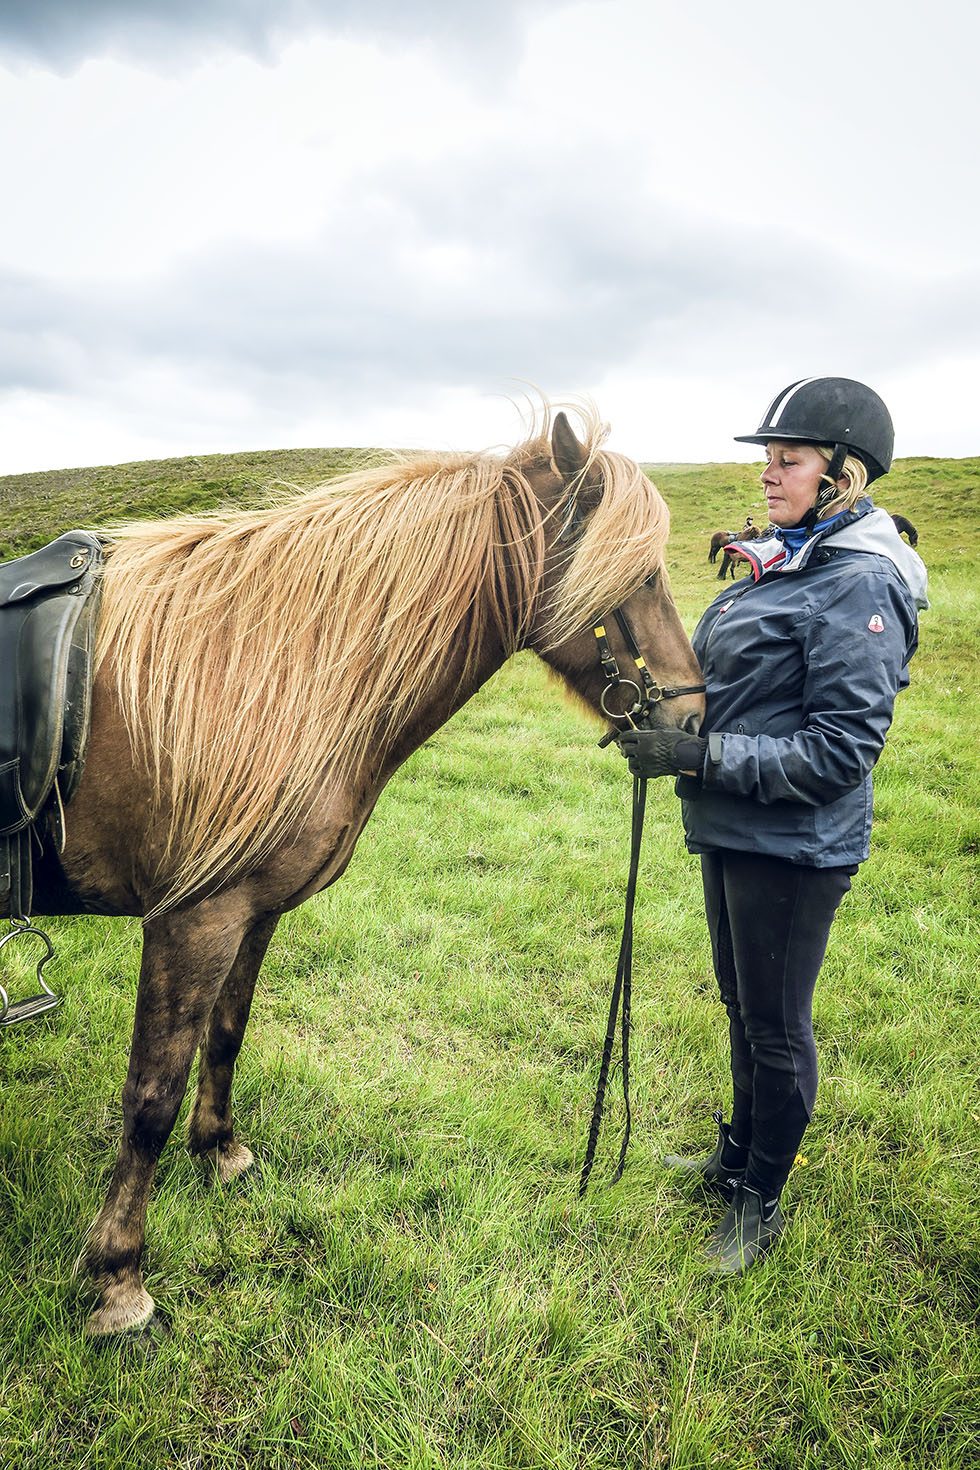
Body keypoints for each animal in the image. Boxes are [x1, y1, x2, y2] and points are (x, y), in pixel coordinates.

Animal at [21, 405, 696, 1346]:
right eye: (640, 575)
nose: (695, 718)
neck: (267, 672)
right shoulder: (192, 919)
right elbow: (150, 1095)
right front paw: (119, 1277)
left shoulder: (253, 911)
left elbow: (226, 1036)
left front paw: (221, 1153)